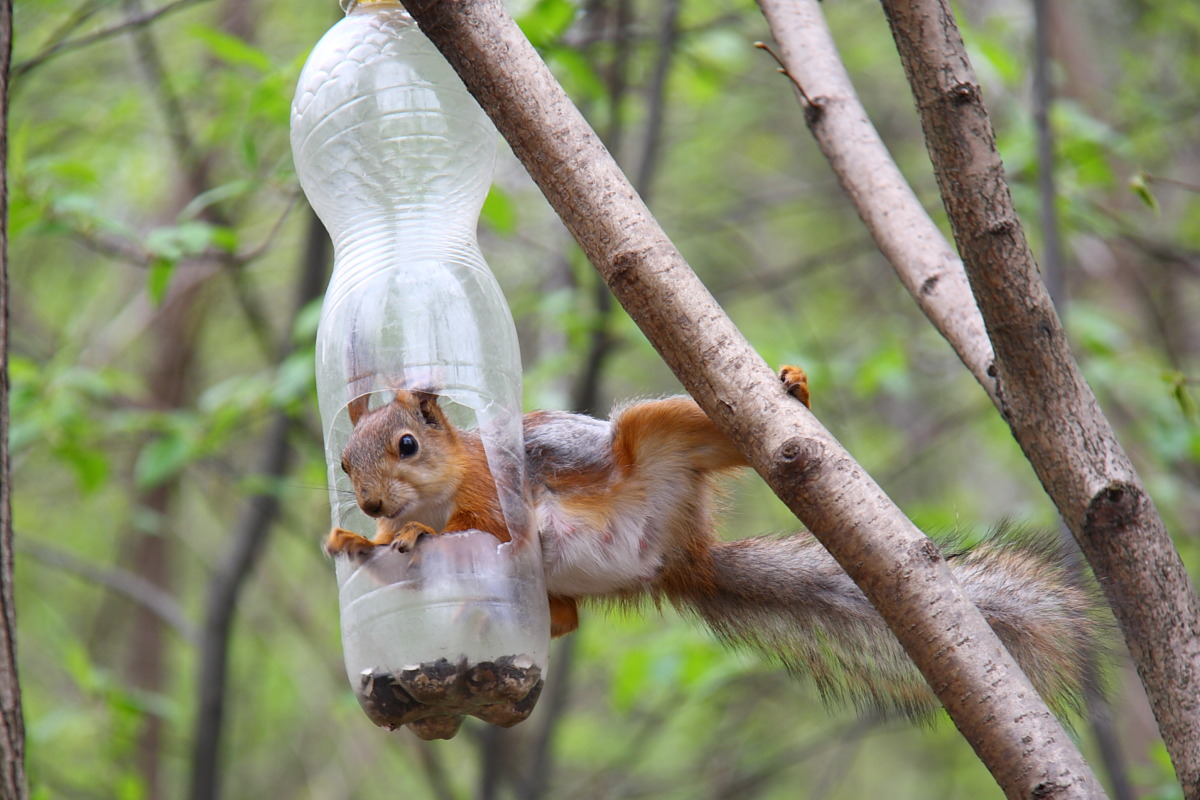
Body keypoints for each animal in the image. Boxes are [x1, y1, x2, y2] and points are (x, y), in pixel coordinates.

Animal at [326, 367, 1099, 714]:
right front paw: (353, 539)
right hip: (561, 583)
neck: (440, 487)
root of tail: (678, 561)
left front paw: (419, 529)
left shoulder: (493, 497)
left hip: (660, 438)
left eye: (406, 444)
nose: (370, 504)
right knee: (563, 617)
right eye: (344, 463)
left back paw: (795, 393)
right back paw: (484, 618)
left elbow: (477, 531)